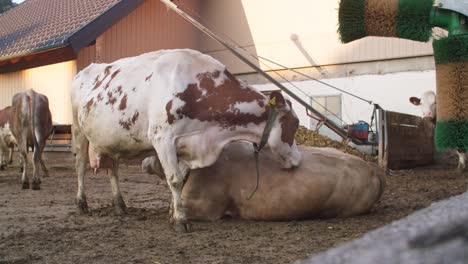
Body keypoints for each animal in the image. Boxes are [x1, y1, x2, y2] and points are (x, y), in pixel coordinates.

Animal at [71, 48, 302, 232]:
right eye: (295, 123)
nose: (298, 159)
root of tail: (84, 71)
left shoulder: (186, 146)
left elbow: (181, 180)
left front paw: (173, 214)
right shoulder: (162, 139)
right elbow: (173, 179)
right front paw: (181, 220)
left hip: (111, 140)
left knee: (113, 170)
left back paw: (119, 205)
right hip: (78, 130)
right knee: (80, 165)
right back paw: (81, 203)